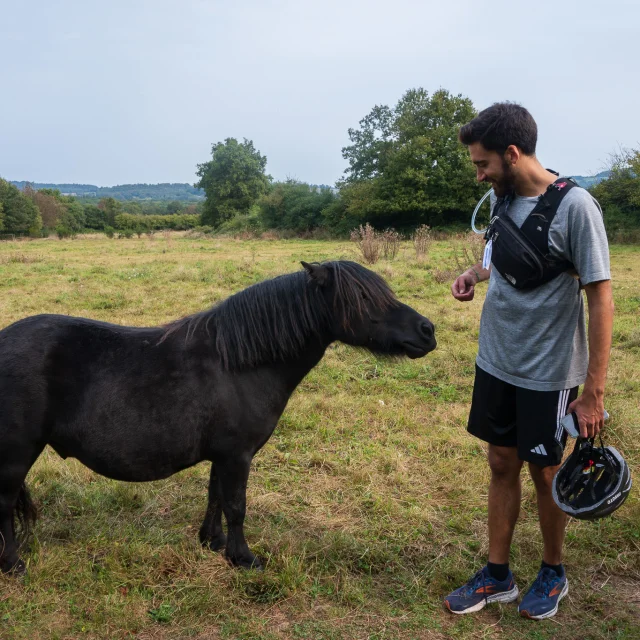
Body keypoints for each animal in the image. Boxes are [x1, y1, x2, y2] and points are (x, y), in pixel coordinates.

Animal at [0, 260, 436, 576]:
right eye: (362, 297)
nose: (428, 330)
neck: (240, 364)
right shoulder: (237, 455)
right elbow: (236, 505)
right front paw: (243, 557)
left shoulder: (222, 455)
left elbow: (215, 497)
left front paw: (211, 542)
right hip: (17, 454)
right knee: (3, 503)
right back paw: (13, 564)